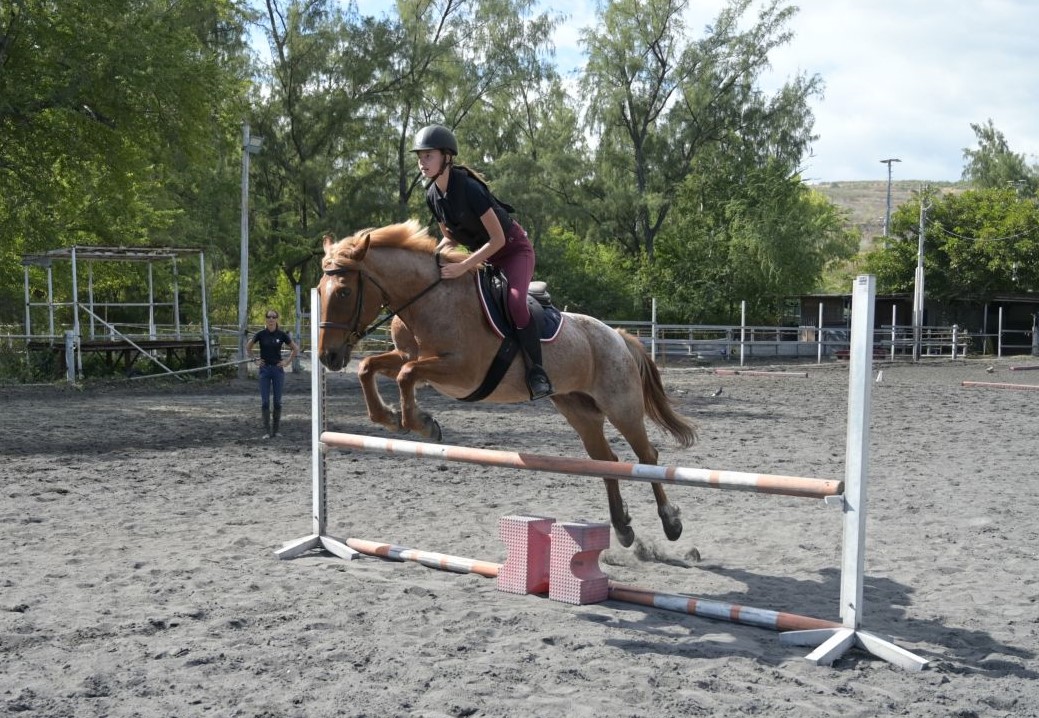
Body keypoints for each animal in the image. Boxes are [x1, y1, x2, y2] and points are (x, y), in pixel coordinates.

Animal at [315, 222, 698, 548]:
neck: (429, 301)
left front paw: (422, 424)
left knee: (647, 457)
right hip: (579, 410)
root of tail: (617, 336)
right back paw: (622, 528)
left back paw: (671, 523)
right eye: (319, 290)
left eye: (345, 291)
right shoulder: (406, 354)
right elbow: (370, 367)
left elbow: (407, 373)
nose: (327, 357)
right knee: (606, 461)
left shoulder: (462, 371)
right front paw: (392, 419)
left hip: (621, 405)